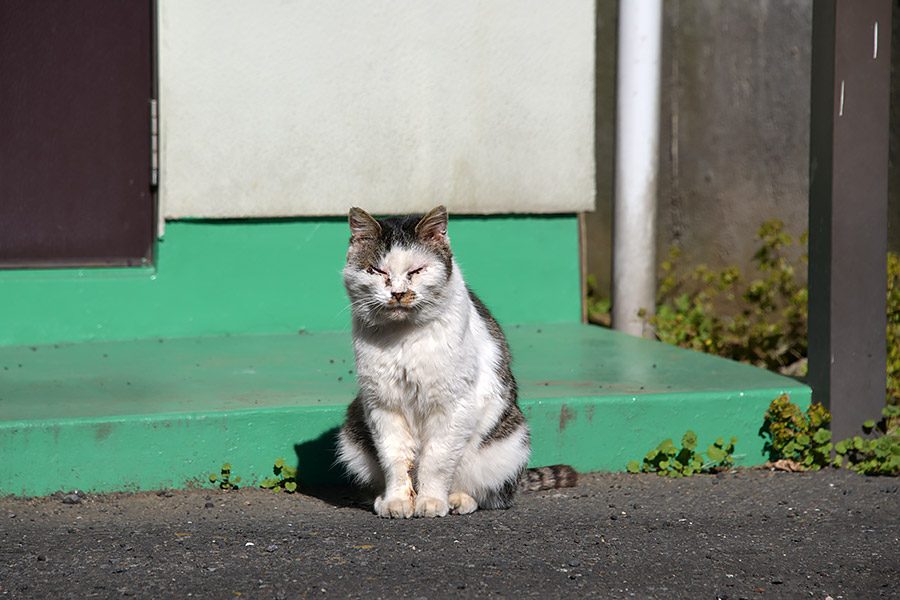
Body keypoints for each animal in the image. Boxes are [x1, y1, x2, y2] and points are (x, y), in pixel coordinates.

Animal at [336, 206, 576, 516]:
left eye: (416, 270)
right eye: (377, 270)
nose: (398, 293)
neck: (402, 338)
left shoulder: (452, 405)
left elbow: (436, 461)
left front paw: (430, 501)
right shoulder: (382, 405)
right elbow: (395, 459)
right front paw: (397, 502)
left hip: (510, 441)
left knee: (488, 492)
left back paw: (457, 500)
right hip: (352, 432)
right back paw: (381, 499)